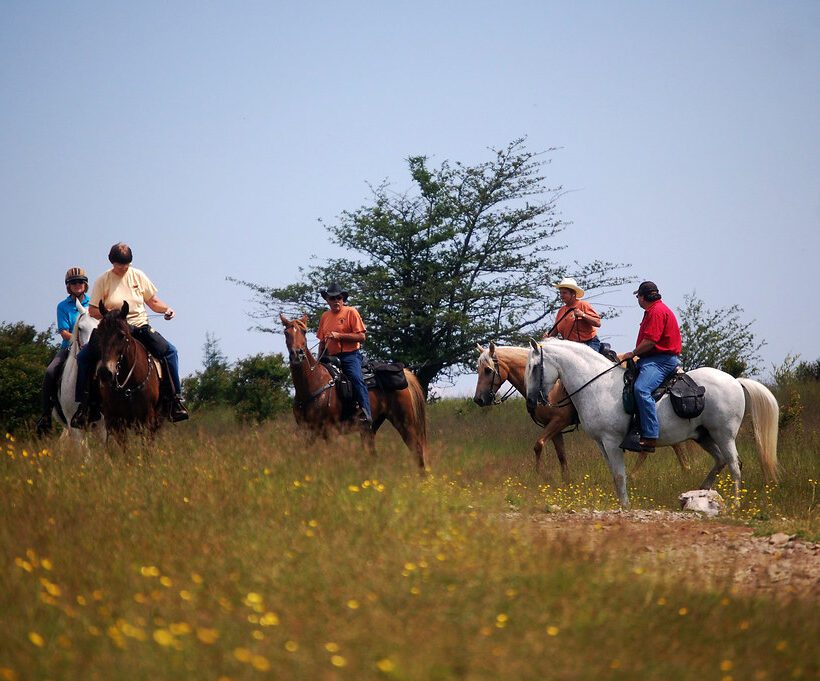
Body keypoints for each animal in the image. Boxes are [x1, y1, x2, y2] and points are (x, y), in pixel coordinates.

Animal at [278, 314, 430, 468]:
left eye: (303, 331)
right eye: (286, 333)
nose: (297, 354)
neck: (313, 383)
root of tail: (404, 372)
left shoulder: (329, 431)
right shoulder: (307, 432)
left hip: (405, 422)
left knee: (417, 451)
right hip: (369, 428)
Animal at [470, 340, 688, 478]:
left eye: (488, 370)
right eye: (478, 369)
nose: (479, 399)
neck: (552, 386)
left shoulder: (559, 421)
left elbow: (538, 445)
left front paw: (540, 475)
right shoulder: (555, 428)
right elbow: (561, 455)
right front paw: (565, 481)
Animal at [524, 338, 780, 508]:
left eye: (535, 367)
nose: (531, 401)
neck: (598, 385)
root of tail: (735, 381)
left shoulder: (611, 441)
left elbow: (619, 475)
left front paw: (625, 506)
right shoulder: (601, 444)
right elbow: (614, 474)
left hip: (723, 434)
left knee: (734, 465)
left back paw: (735, 504)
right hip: (703, 435)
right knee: (720, 461)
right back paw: (701, 493)